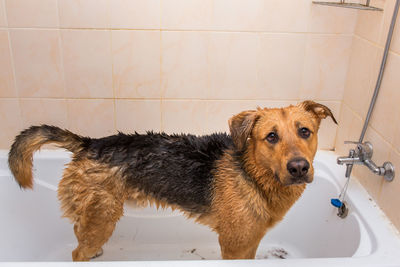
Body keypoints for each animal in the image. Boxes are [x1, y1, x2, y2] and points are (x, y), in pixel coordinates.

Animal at [7, 100, 336, 262]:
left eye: (305, 131)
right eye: (271, 137)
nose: (299, 168)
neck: (253, 172)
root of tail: (89, 144)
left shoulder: (250, 242)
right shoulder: (234, 246)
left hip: (94, 217)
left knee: (79, 233)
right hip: (103, 218)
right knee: (77, 253)